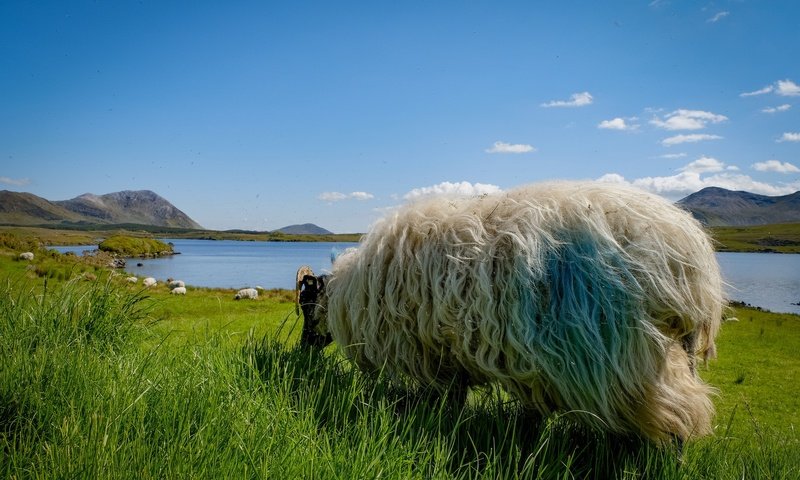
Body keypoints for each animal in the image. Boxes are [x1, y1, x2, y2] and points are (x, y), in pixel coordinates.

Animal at [300, 182, 724, 444]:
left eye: (305, 308)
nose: (303, 350)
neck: (347, 294)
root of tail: (691, 259)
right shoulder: (453, 352)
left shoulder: (432, 350)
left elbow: (445, 398)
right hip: (667, 352)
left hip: (629, 354)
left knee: (677, 417)